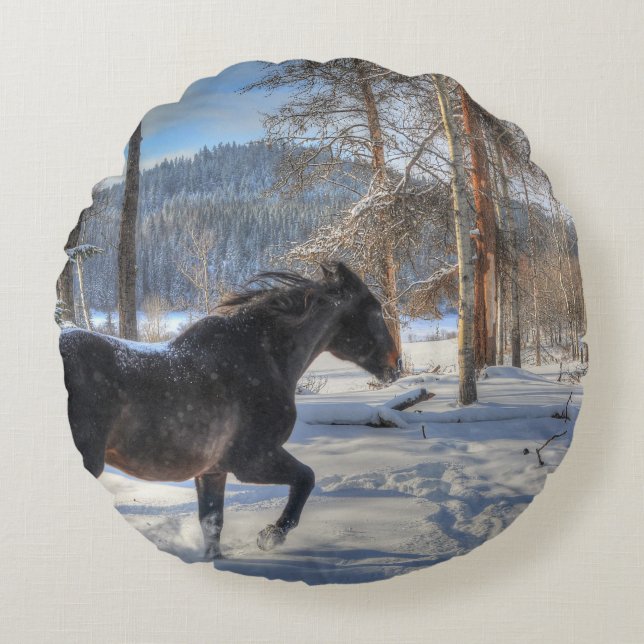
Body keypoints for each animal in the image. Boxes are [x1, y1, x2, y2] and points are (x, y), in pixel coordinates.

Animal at [59, 262, 401, 559]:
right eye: (374, 310)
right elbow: (307, 478)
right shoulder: (252, 460)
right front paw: (271, 536)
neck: (263, 356)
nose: (395, 365)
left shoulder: (213, 470)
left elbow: (212, 523)